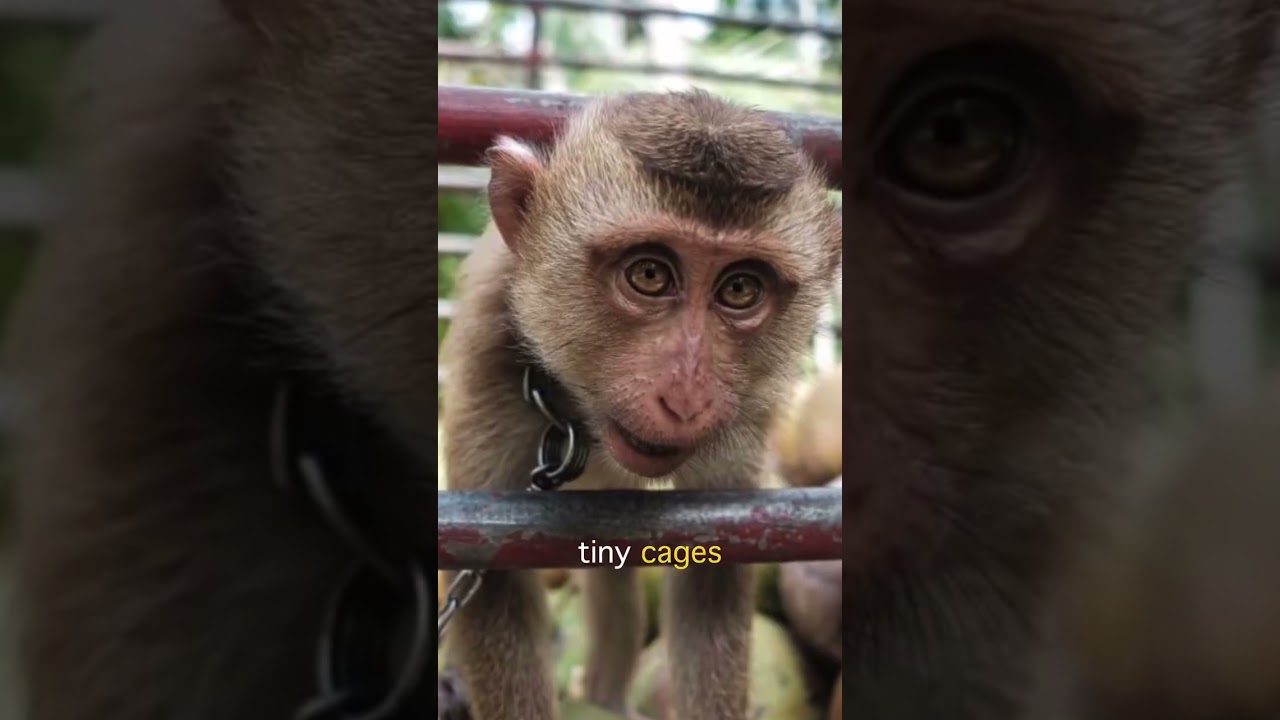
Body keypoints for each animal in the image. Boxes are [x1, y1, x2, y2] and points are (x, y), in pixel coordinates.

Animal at [438, 90, 842, 720]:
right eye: (649, 274)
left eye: (740, 289)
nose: (686, 397)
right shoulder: (488, 343)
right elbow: (492, 580)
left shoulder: (747, 408)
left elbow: (714, 576)